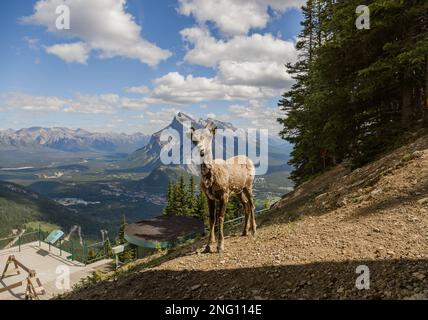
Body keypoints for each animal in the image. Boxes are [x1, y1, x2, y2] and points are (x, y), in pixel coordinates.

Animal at [190, 121, 254, 254]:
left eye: (209, 137)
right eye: (194, 140)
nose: (201, 150)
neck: (211, 176)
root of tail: (249, 160)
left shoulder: (224, 196)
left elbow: (220, 218)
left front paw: (220, 246)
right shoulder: (210, 198)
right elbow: (212, 219)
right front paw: (208, 246)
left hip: (248, 186)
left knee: (252, 204)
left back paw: (254, 230)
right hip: (239, 191)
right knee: (246, 205)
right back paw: (244, 232)